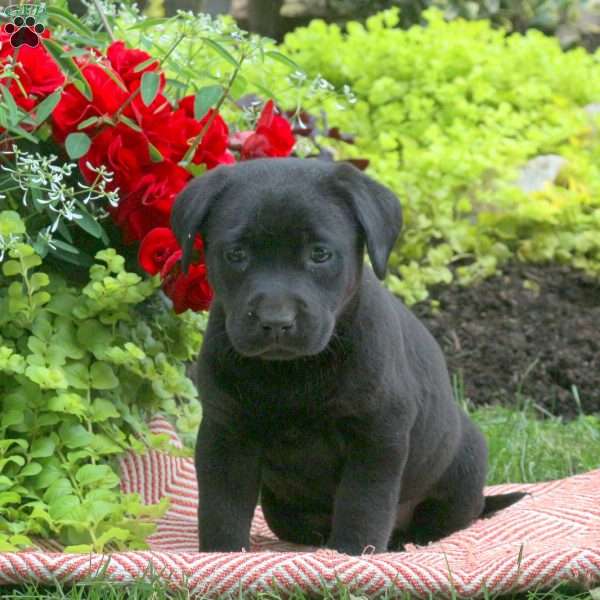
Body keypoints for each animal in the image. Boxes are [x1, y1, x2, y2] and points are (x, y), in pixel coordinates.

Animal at [171, 157, 524, 556]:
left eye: (319, 254)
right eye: (236, 255)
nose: (275, 321)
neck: (289, 373)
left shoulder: (377, 436)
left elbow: (362, 505)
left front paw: (352, 555)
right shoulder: (226, 433)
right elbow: (222, 508)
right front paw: (222, 555)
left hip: (464, 466)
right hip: (280, 509)